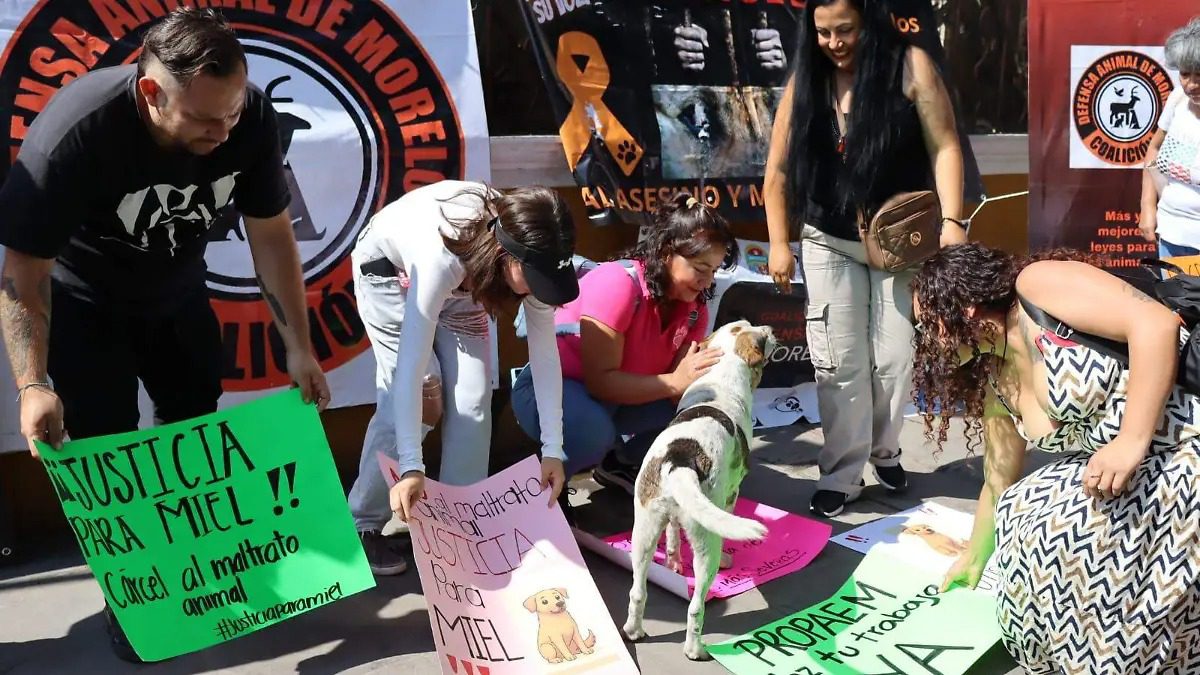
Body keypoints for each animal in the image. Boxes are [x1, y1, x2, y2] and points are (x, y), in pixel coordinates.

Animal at [623, 320, 774, 661]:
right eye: (759, 333)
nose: (770, 328)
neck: (723, 374)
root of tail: (679, 459)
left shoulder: (672, 515)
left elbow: (673, 535)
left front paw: (673, 562)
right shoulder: (731, 493)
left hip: (643, 531)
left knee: (637, 591)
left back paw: (634, 631)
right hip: (706, 545)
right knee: (695, 607)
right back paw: (695, 649)